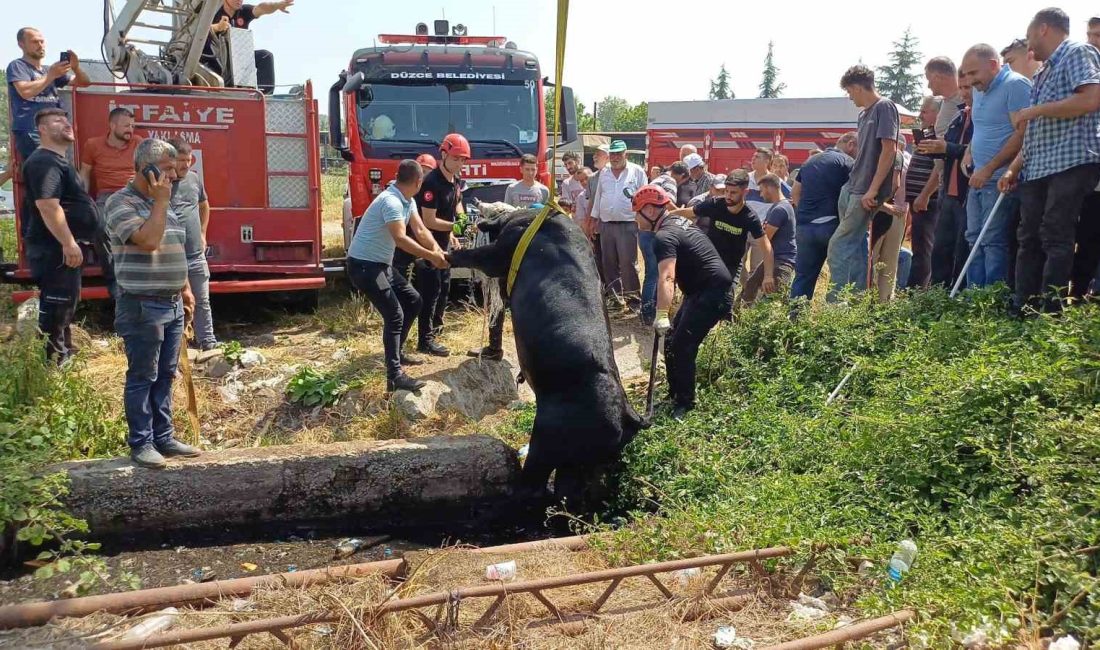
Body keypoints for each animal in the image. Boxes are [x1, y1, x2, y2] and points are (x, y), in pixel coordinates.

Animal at [446, 205, 642, 505]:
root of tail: (624, 416)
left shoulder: (501, 249)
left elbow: (481, 256)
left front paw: (447, 255)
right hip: (589, 461)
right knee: (574, 491)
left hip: (545, 439)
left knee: (534, 482)